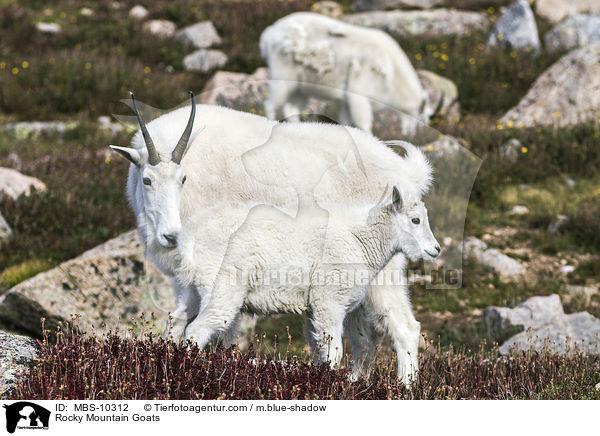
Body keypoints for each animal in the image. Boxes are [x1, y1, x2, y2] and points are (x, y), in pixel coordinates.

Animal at [109, 93, 436, 384]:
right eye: (146, 180)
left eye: (183, 179)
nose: (170, 235)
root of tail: (405, 171)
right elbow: (177, 322)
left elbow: (224, 332)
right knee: (363, 337)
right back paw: (356, 382)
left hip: (380, 272)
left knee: (403, 327)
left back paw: (404, 386)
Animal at [260, 13, 428, 133]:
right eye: (421, 115)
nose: (411, 134)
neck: (393, 77)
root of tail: (267, 35)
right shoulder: (359, 93)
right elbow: (364, 123)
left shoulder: (346, 101)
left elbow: (346, 122)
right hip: (282, 77)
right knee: (270, 104)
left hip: (301, 87)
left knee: (291, 108)